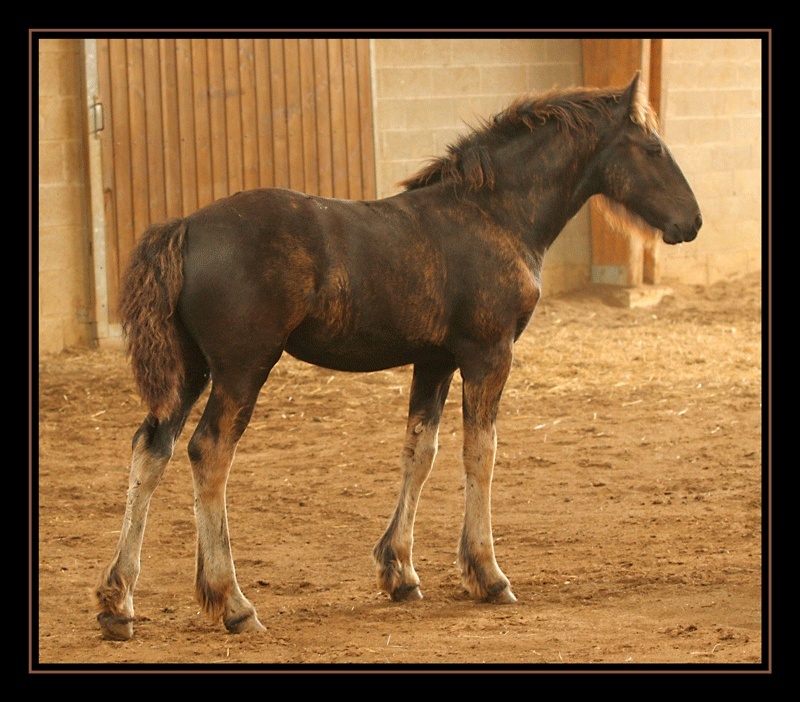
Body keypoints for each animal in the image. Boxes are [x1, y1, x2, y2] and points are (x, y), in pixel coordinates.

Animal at [94, 73, 700, 644]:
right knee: (209, 452)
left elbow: (420, 451)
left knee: (151, 448)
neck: (494, 213)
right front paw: (487, 574)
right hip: (243, 369)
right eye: (653, 149)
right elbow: (480, 452)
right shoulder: (489, 353)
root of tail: (185, 228)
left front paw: (401, 572)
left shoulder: (434, 361)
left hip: (190, 371)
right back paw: (234, 603)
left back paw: (118, 603)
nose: (690, 222)